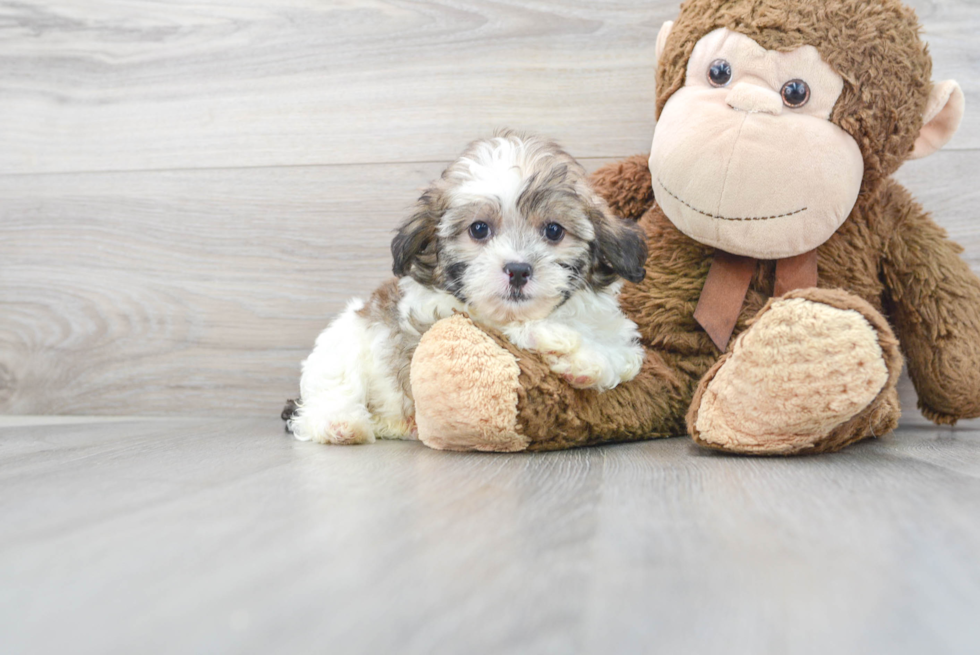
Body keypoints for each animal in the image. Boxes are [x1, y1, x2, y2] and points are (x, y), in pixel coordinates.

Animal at [286, 130, 652, 444]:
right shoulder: (443, 315)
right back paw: (341, 425)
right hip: (341, 350)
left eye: (553, 230)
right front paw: (562, 344)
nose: (518, 270)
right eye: (478, 229)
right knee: (332, 393)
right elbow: (509, 329)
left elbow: (624, 358)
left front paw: (589, 361)